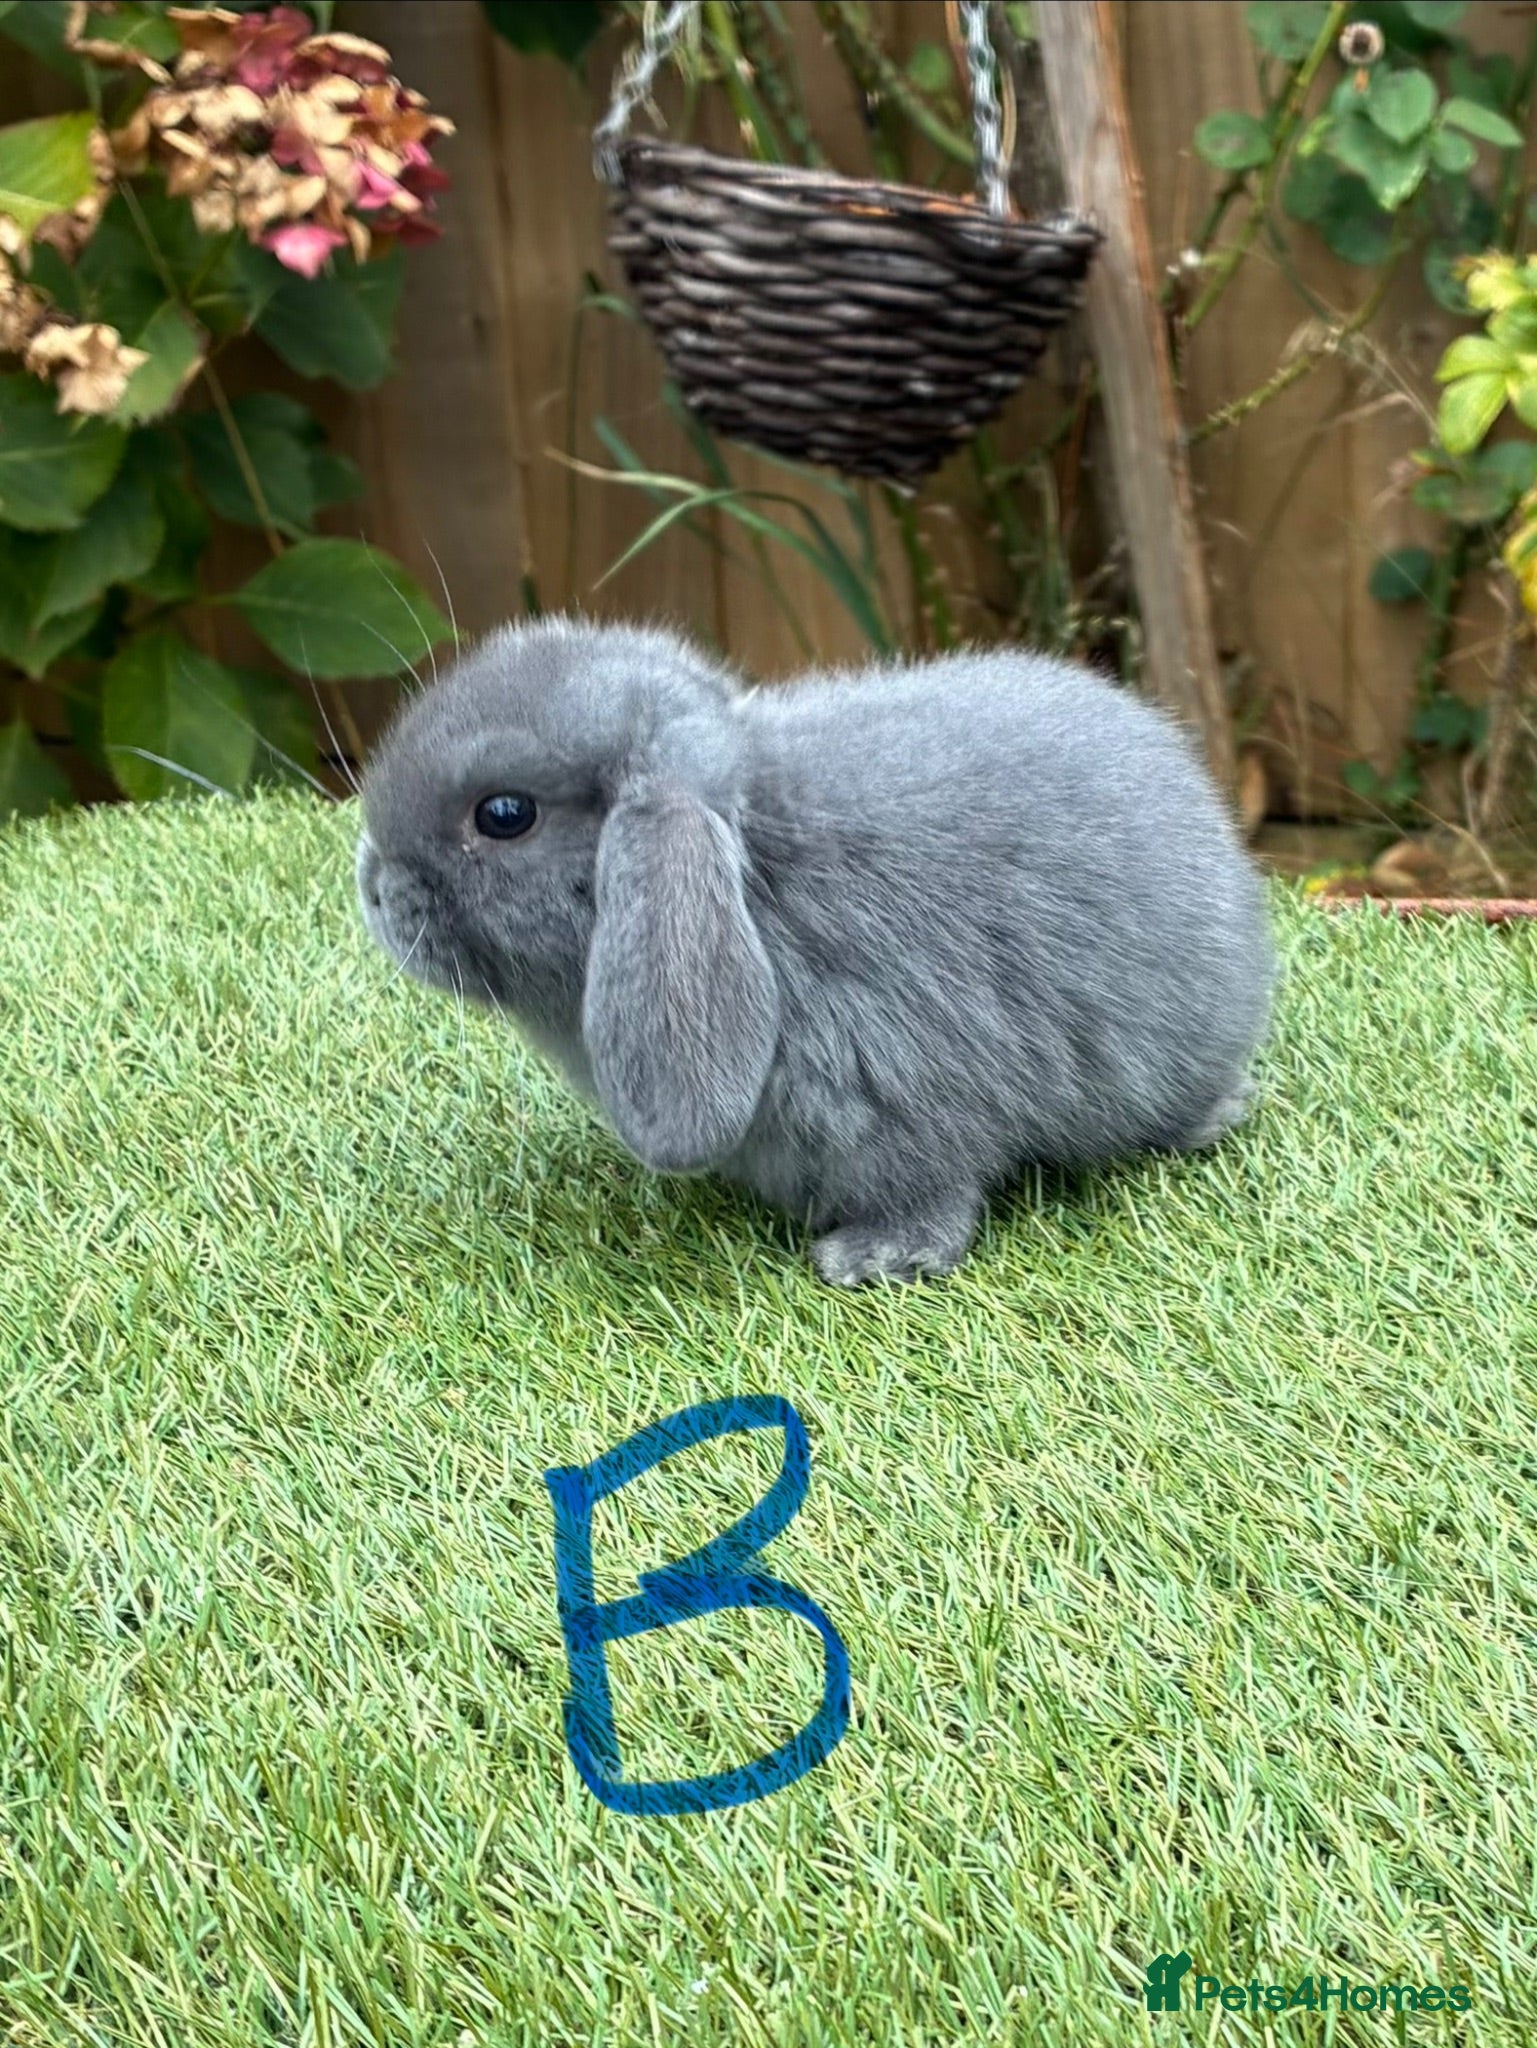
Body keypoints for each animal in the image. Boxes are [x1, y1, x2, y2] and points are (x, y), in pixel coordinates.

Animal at [355, 615, 1275, 1287]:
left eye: (504, 814)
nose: (371, 886)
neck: (757, 872)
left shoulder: (908, 1102)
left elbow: (933, 1190)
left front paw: (870, 1260)